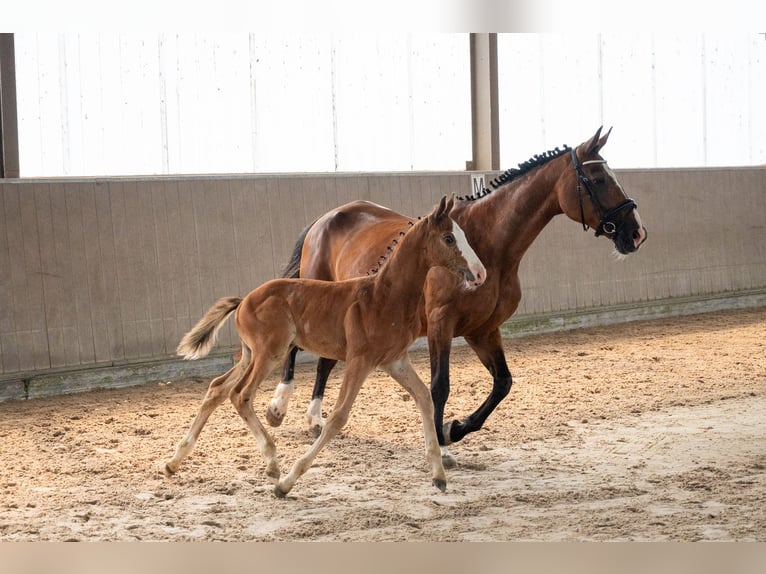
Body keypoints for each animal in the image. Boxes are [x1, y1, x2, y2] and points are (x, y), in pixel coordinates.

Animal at [163, 196, 486, 497]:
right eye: (448, 238)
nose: (480, 273)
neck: (384, 296)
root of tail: (244, 301)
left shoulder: (395, 360)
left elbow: (424, 398)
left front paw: (439, 476)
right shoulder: (360, 360)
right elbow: (338, 417)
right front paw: (288, 482)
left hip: (250, 355)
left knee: (217, 388)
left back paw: (174, 461)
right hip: (270, 354)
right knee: (240, 395)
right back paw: (272, 461)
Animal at [265, 127, 648, 467]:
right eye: (597, 179)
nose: (636, 233)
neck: (488, 244)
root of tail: (325, 218)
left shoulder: (483, 330)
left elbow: (502, 383)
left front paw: (454, 430)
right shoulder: (441, 324)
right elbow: (439, 387)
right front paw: (440, 444)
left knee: (326, 360)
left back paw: (315, 419)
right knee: (297, 346)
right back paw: (278, 407)